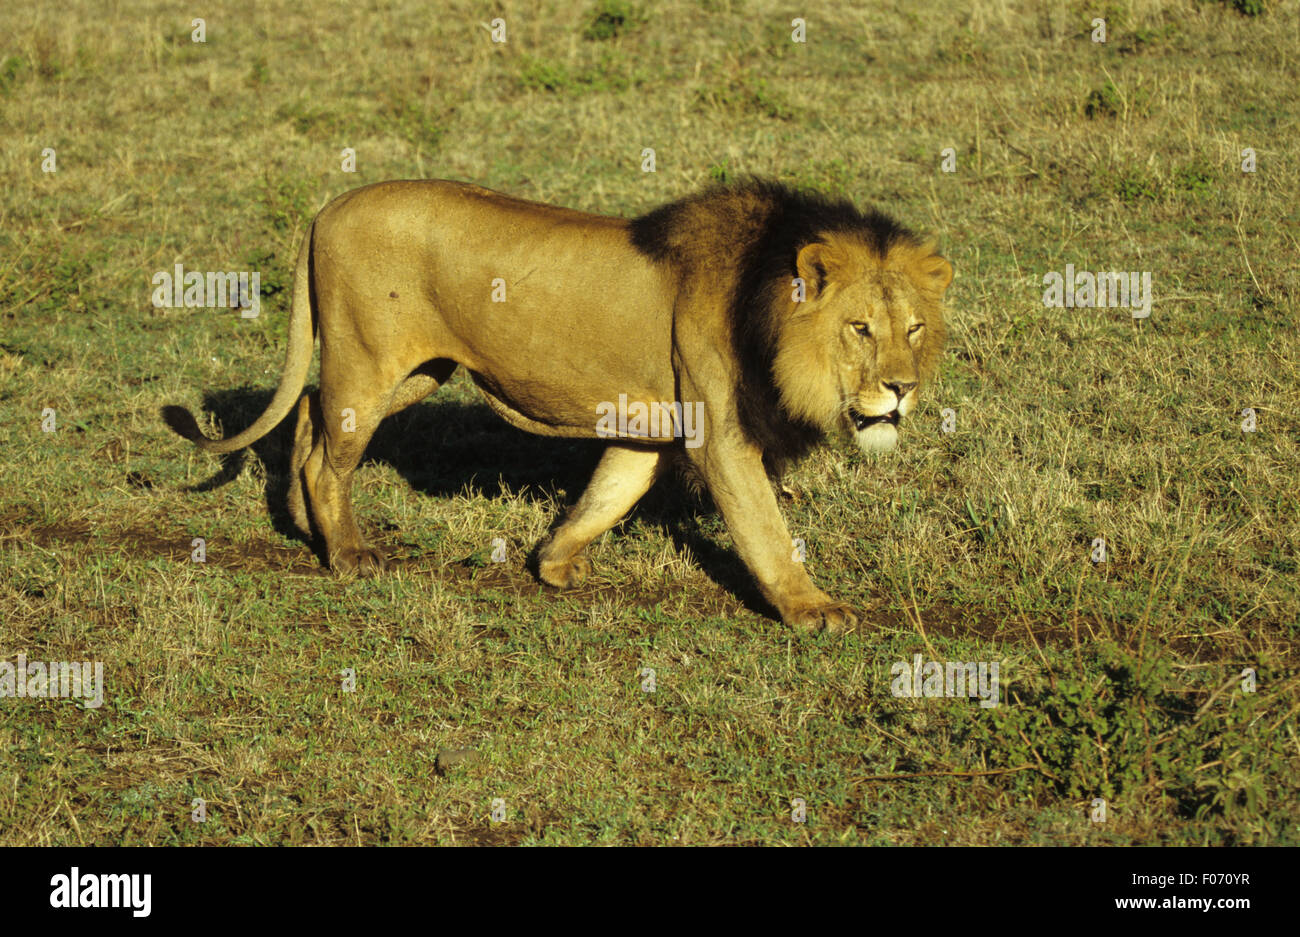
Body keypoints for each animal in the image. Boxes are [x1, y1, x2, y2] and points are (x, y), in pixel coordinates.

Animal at [164, 178, 952, 632]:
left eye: (914, 329)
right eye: (860, 328)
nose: (902, 387)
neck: (764, 306)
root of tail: (326, 209)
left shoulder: (652, 424)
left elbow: (608, 493)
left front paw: (554, 563)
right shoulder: (719, 433)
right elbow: (764, 527)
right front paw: (811, 608)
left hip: (414, 371)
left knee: (307, 415)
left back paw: (307, 530)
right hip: (370, 362)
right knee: (329, 454)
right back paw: (349, 553)